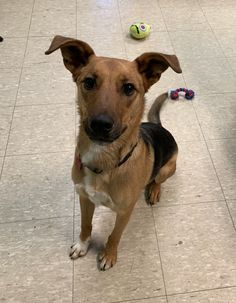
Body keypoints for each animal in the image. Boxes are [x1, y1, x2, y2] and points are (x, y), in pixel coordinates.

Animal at [45, 35, 182, 270]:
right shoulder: (84, 198)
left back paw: (154, 190)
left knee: (158, 179)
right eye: (89, 82)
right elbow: (85, 226)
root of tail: (159, 126)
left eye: (129, 88)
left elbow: (114, 236)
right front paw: (82, 245)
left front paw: (108, 255)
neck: (104, 161)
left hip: (167, 168)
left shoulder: (125, 211)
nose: (101, 124)